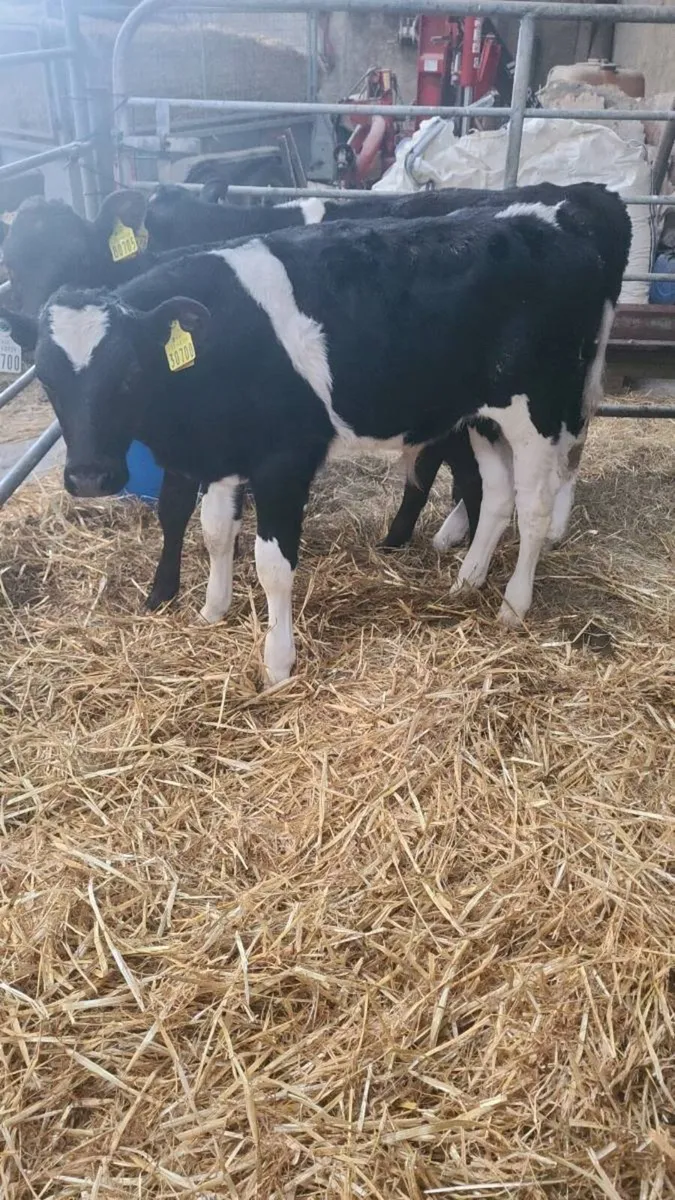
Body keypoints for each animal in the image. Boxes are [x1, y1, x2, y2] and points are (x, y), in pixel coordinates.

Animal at [1, 205, 608, 684]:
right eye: (46, 377)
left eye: (128, 374)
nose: (89, 477)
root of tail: (555, 224)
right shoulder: (223, 454)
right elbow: (215, 533)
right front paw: (212, 610)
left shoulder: (282, 461)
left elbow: (272, 564)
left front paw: (277, 663)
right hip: (480, 416)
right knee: (498, 497)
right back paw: (467, 581)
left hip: (540, 409)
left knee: (534, 506)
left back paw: (513, 605)